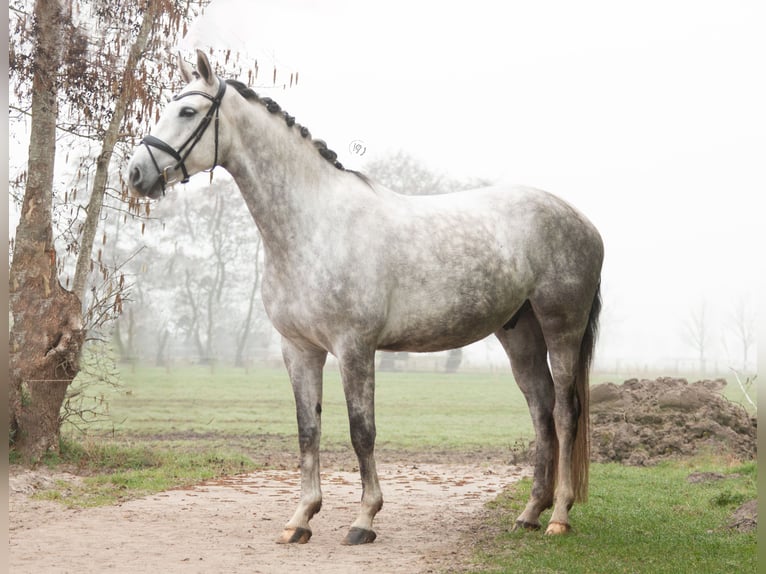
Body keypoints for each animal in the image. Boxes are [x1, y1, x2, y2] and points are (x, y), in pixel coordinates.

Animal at [127, 49, 604, 545]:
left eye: (187, 111)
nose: (136, 174)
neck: (314, 225)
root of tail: (583, 221)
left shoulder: (354, 347)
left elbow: (362, 431)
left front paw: (364, 519)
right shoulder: (299, 349)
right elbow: (308, 430)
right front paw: (301, 518)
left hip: (561, 327)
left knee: (565, 413)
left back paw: (559, 516)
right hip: (519, 333)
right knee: (541, 411)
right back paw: (529, 513)